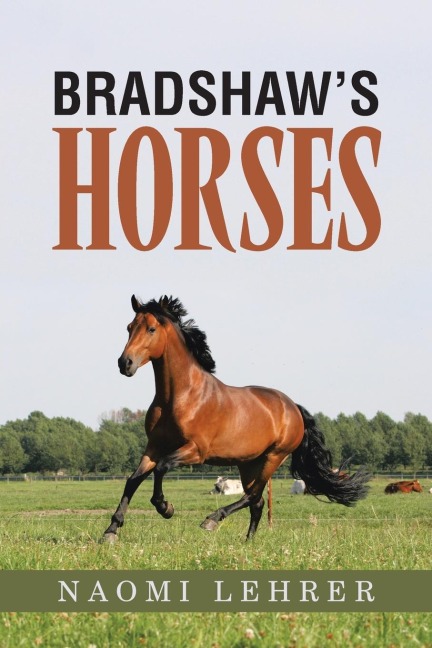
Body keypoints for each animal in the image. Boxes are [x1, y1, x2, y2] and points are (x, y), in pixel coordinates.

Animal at [102, 295, 370, 542]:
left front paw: (165, 508)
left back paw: (212, 520)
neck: (180, 397)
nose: (124, 363)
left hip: (273, 457)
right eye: (129, 327)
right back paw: (247, 542)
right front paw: (111, 531)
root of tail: (293, 407)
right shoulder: (154, 447)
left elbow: (161, 468)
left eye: (151, 329)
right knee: (257, 502)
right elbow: (133, 480)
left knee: (252, 496)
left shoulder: (196, 451)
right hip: (248, 463)